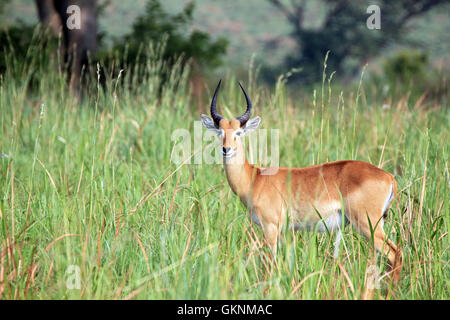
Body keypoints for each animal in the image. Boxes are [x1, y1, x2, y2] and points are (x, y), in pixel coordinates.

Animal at [202, 80, 402, 282]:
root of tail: (388, 176)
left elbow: (269, 265)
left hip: (367, 224)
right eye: (220, 131)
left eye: (238, 132)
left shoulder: (270, 228)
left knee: (395, 253)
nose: (226, 149)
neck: (255, 178)